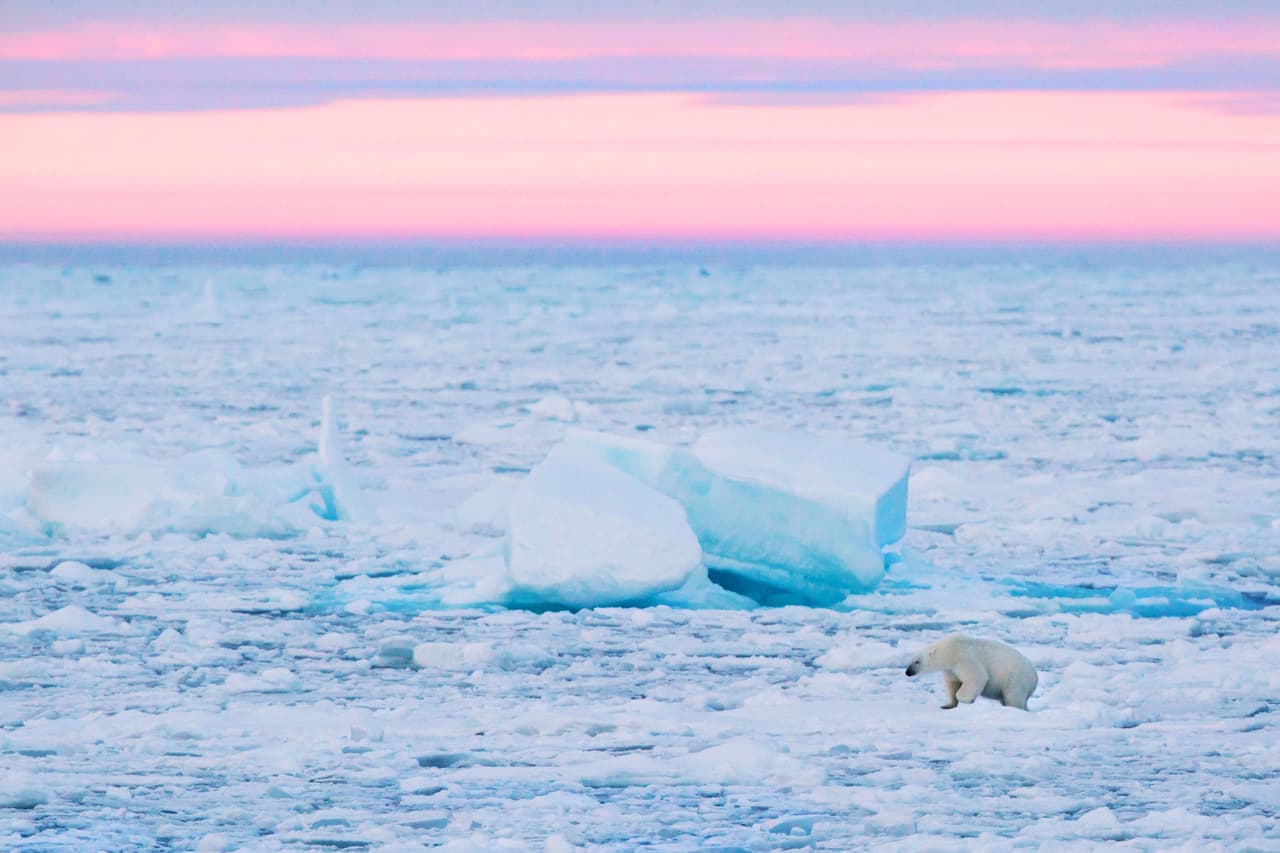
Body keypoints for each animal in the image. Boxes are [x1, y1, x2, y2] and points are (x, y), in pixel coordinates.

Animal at [905, 633, 1037, 710]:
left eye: (917, 661)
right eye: (910, 660)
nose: (908, 672)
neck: (949, 651)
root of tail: (1035, 677)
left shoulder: (963, 658)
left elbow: (977, 677)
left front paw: (966, 699)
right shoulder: (950, 669)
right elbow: (952, 684)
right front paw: (947, 705)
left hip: (1015, 677)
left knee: (1013, 696)